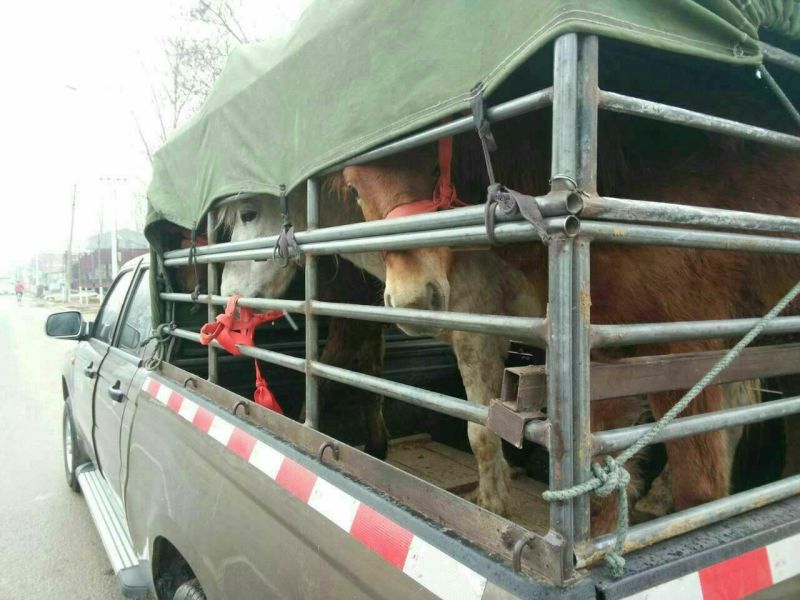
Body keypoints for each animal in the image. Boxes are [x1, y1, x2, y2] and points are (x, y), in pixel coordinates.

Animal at [217, 192, 390, 458]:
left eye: (247, 215)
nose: (228, 295)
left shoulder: (353, 320)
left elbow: (323, 375)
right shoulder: (366, 319)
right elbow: (371, 380)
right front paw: (377, 447)